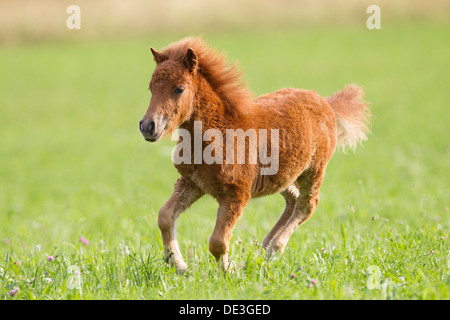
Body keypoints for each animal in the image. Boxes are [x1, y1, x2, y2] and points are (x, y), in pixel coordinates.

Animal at [139, 37, 370, 272]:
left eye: (179, 89)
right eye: (150, 88)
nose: (148, 126)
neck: (220, 130)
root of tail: (325, 103)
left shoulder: (236, 193)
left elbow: (217, 242)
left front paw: (229, 271)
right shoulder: (192, 182)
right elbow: (165, 217)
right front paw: (179, 265)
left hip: (313, 170)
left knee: (307, 204)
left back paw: (273, 249)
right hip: (283, 175)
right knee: (293, 199)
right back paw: (266, 245)